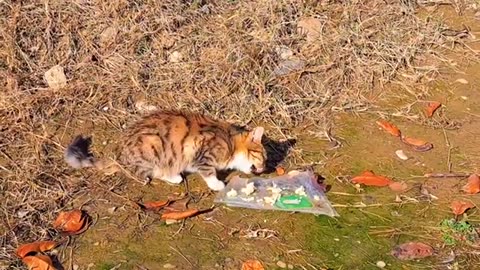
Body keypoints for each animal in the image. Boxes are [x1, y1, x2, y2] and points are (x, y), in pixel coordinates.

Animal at [64, 109, 266, 190]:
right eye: (263, 157)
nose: (264, 168)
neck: (230, 143)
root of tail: (119, 154)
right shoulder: (203, 155)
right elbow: (209, 173)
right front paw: (217, 184)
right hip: (153, 145)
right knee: (147, 173)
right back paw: (173, 176)